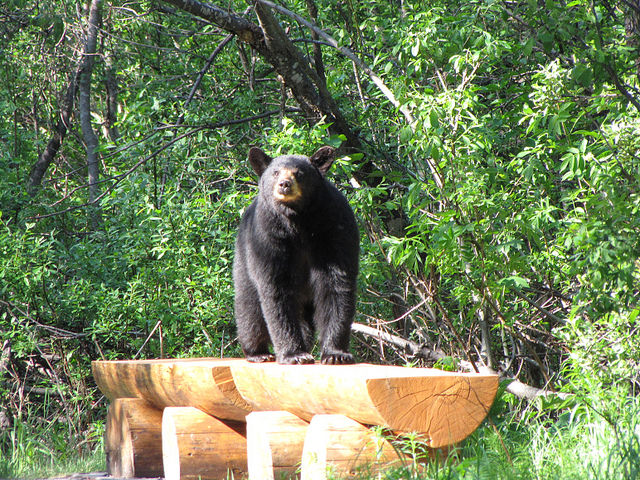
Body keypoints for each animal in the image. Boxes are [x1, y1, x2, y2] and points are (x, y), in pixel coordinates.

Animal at [233, 146, 359, 365]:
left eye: (299, 173)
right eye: (275, 172)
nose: (285, 184)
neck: (298, 221)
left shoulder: (334, 229)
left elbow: (336, 285)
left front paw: (335, 353)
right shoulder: (267, 237)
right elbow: (276, 289)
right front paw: (294, 354)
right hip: (244, 259)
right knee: (249, 309)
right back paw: (258, 352)